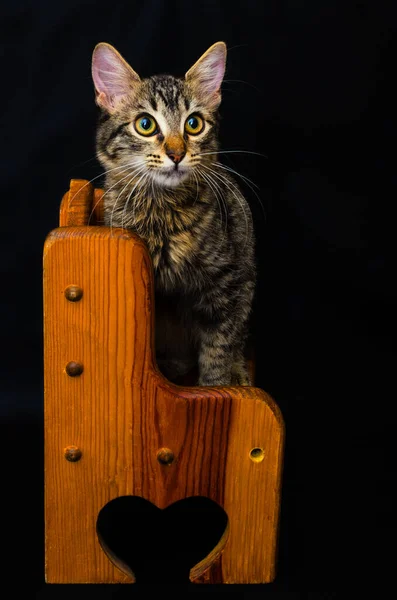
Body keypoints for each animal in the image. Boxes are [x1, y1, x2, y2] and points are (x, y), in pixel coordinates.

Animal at [91, 43, 255, 390]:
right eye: (145, 125)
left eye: (194, 124)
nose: (177, 154)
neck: (162, 210)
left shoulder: (226, 282)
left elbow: (219, 347)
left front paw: (216, 388)